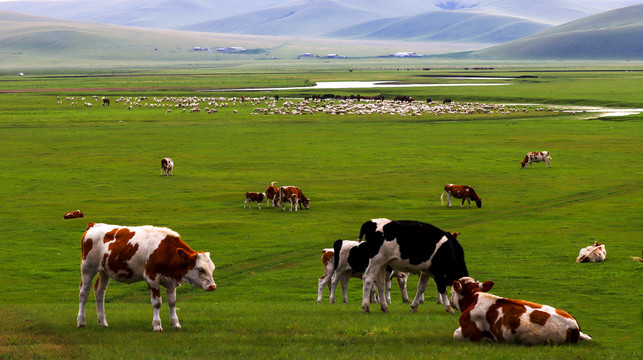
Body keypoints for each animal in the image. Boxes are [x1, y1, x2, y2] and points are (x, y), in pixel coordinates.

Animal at [76, 222, 218, 332]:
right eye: (200, 269)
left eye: (212, 269)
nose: (213, 286)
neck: (166, 251)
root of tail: (93, 225)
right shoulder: (152, 277)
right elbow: (157, 302)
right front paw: (157, 326)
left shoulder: (170, 280)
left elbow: (172, 302)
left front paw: (176, 324)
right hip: (87, 269)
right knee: (84, 293)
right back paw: (81, 321)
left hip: (105, 271)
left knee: (100, 292)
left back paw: (103, 322)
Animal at [450, 278, 592, 344]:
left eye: (452, 292)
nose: (450, 301)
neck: (474, 298)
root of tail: (574, 327)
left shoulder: (466, 332)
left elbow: (455, 334)